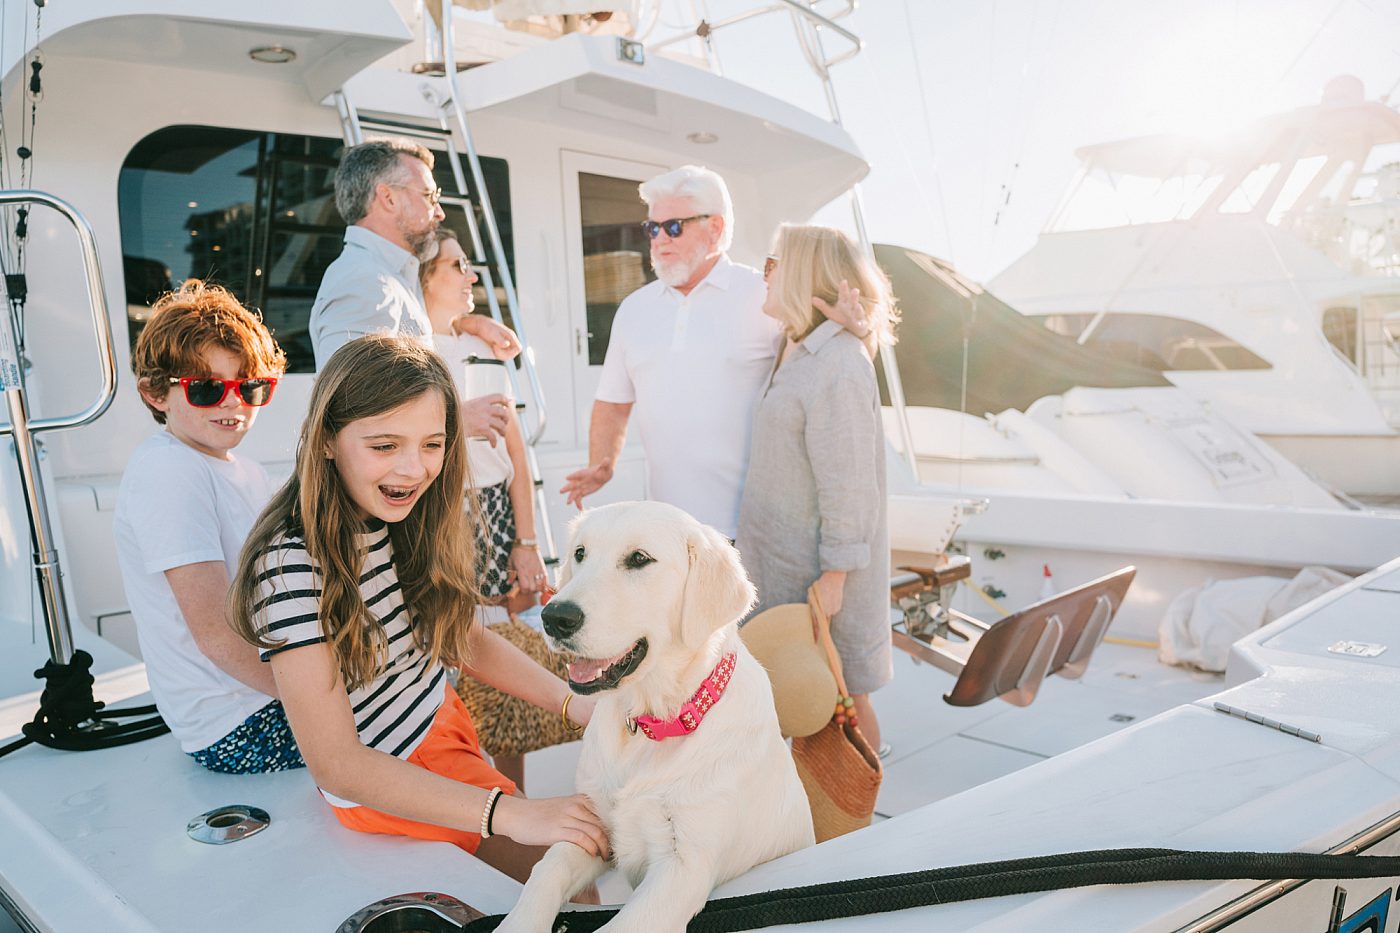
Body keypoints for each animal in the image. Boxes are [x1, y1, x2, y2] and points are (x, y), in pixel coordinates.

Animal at [495, 501, 815, 933]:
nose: (555, 616)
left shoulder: (683, 869)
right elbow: (544, 873)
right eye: (580, 553)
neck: (650, 724)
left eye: (639, 559)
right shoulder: (592, 828)